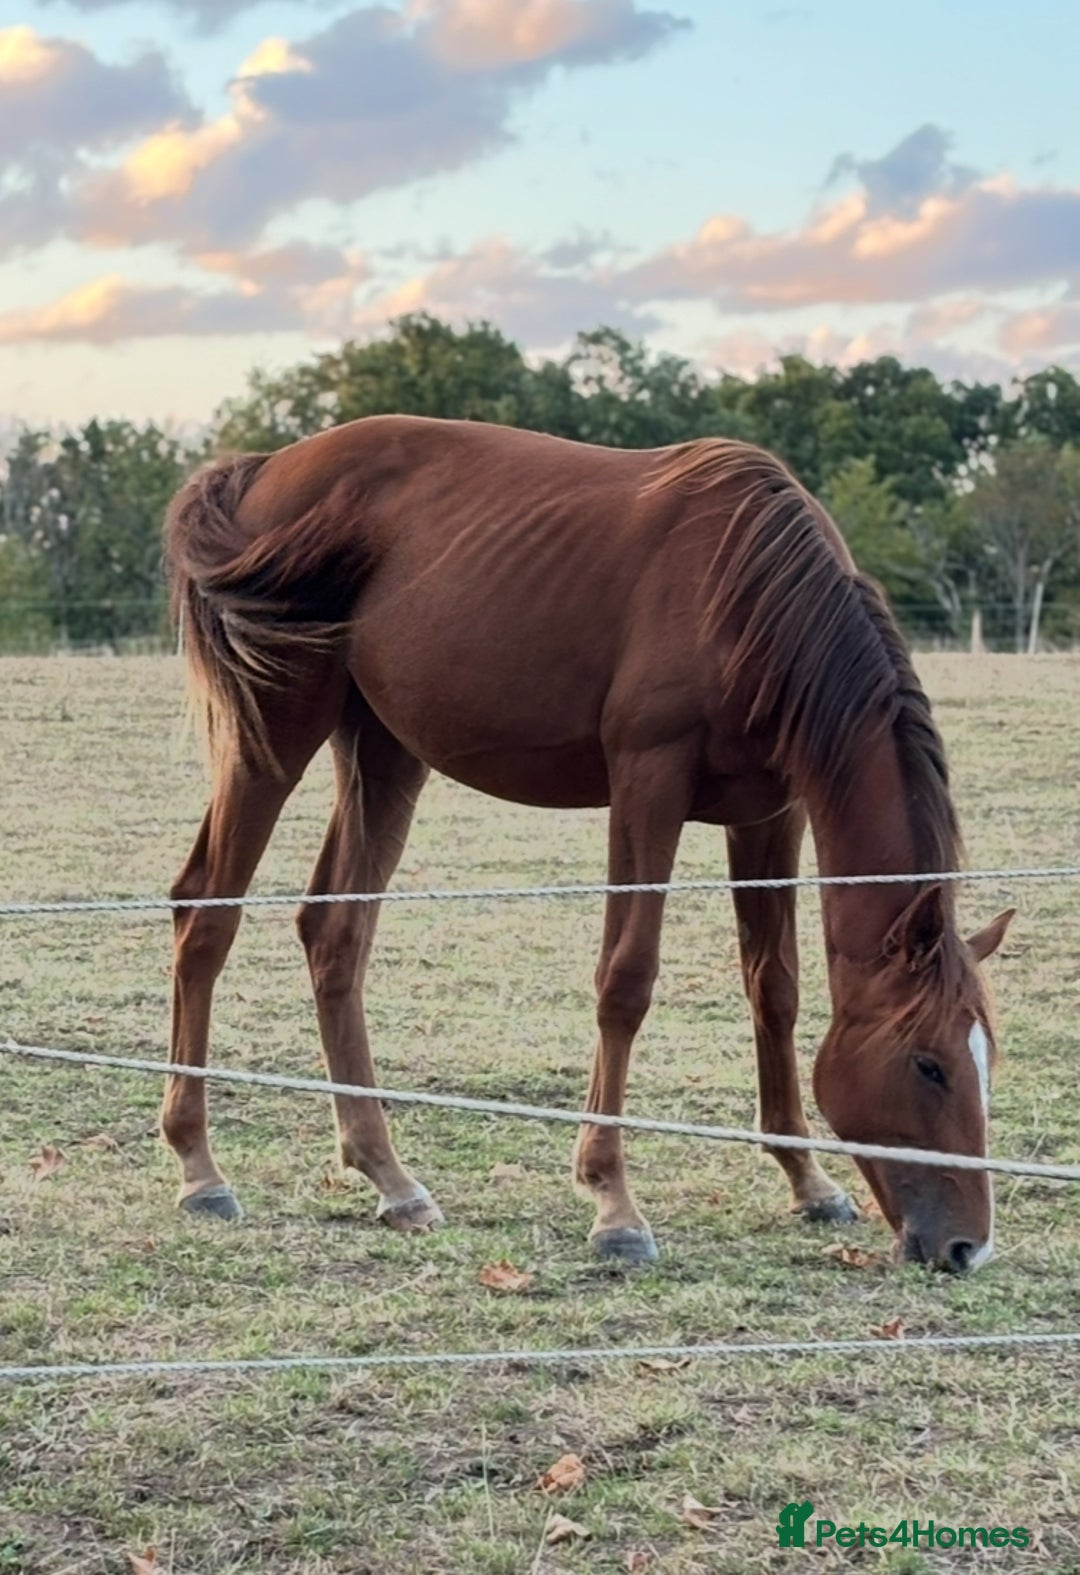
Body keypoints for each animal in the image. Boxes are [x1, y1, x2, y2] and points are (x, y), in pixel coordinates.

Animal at [163, 415, 1013, 1273]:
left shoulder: (772, 814)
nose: (968, 1244)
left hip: (383, 752)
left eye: (987, 1058)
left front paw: (806, 1179)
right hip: (276, 731)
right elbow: (625, 982)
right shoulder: (647, 786)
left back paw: (389, 1176)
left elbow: (774, 985)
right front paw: (614, 1202)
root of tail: (262, 469)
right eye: (930, 1063)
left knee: (335, 934)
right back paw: (200, 1165)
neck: (748, 591)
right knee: (206, 912)